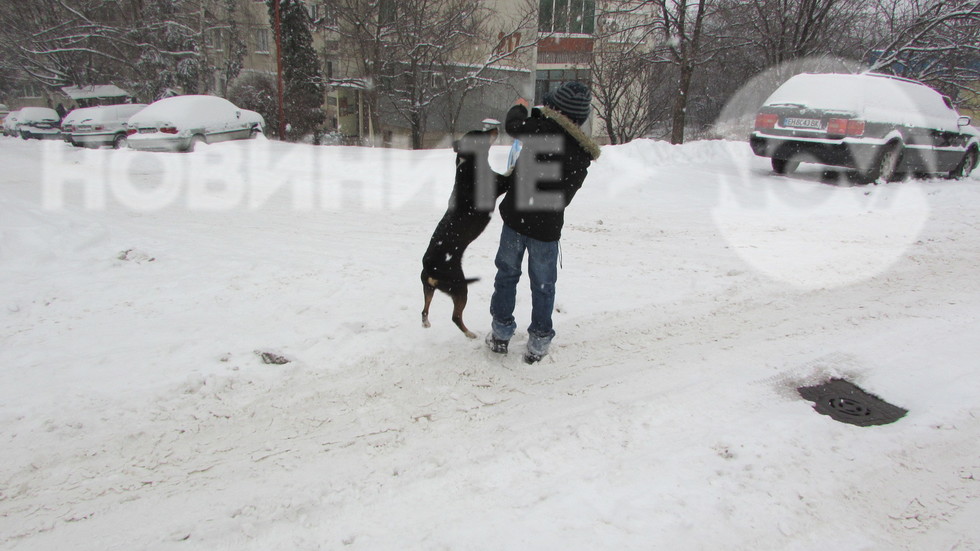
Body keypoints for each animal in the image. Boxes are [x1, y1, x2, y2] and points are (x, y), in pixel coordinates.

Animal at [422, 129, 510, 336]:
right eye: (482, 133)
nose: (496, 128)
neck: (468, 162)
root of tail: (430, 269)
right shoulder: (501, 184)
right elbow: (511, 172)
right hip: (460, 288)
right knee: (455, 317)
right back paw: (470, 334)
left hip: (429, 288)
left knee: (424, 309)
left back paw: (426, 323)